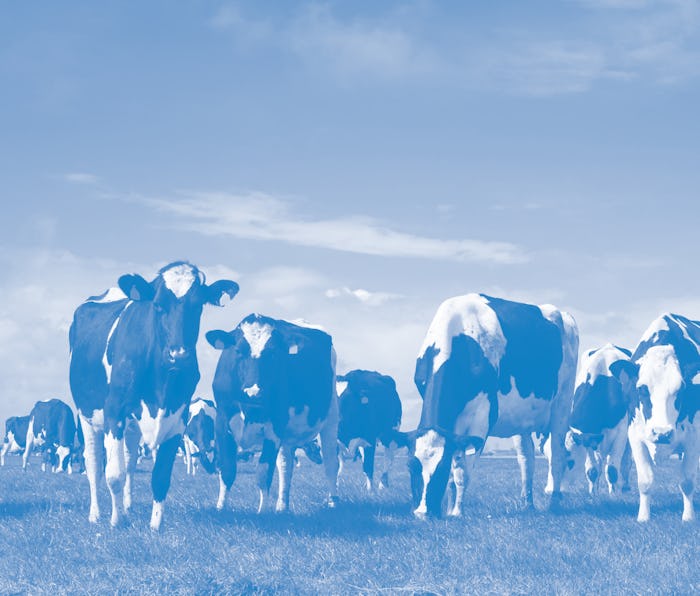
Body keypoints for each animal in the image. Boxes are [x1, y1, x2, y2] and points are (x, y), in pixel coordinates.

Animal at [69, 261, 239, 530]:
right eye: (158, 305)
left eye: (198, 305)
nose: (179, 354)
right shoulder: (113, 410)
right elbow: (113, 473)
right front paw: (117, 521)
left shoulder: (178, 417)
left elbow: (160, 477)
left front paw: (155, 526)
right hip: (87, 415)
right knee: (94, 464)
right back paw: (96, 514)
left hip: (131, 427)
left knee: (130, 462)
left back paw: (127, 505)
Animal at [206, 314, 339, 513]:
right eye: (238, 350)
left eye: (273, 353)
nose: (253, 392)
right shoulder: (222, 423)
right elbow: (227, 469)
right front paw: (220, 509)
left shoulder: (274, 427)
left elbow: (263, 473)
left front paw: (262, 513)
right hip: (288, 435)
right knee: (286, 465)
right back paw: (282, 506)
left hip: (331, 416)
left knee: (331, 462)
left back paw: (333, 502)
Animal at [410, 293, 578, 518]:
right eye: (411, 467)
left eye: (440, 470)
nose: (422, 513)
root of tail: (562, 314)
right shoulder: (453, 427)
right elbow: (455, 469)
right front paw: (450, 509)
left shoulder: (481, 419)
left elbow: (461, 473)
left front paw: (457, 512)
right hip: (522, 417)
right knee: (526, 457)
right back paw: (528, 504)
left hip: (562, 404)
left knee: (557, 453)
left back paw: (553, 503)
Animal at [566, 344, 636, 494]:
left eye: (570, 461)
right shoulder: (588, 439)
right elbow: (592, 469)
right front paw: (593, 493)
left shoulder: (621, 433)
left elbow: (612, 470)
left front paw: (613, 494)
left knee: (626, 461)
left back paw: (625, 487)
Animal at [628, 313, 700, 522]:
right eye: (642, 389)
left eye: (681, 389)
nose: (662, 433)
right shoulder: (635, 435)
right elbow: (645, 481)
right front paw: (643, 517)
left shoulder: (694, 437)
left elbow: (687, 481)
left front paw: (688, 517)